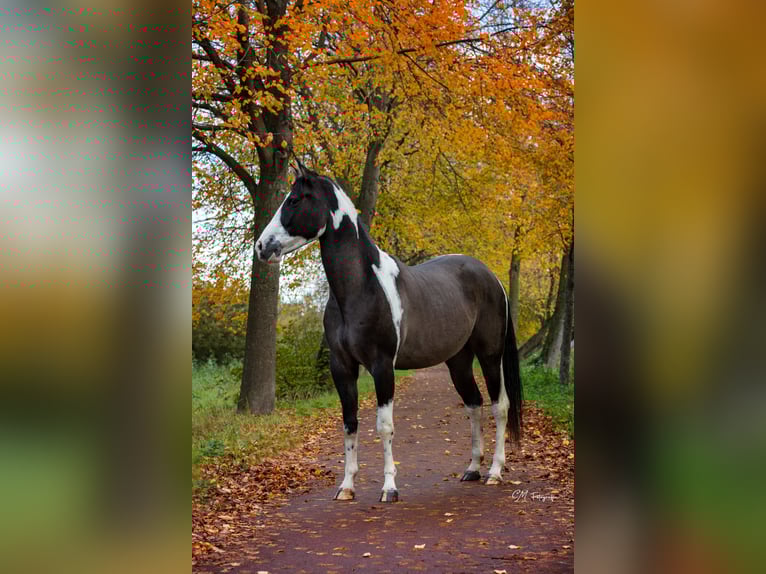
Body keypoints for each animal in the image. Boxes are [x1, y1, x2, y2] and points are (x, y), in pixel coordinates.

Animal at [255, 167, 522, 503]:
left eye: (294, 200)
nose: (262, 247)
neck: (360, 289)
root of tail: (492, 277)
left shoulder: (382, 366)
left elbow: (384, 427)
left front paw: (389, 488)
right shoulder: (342, 367)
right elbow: (350, 424)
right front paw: (346, 487)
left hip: (489, 355)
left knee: (500, 406)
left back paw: (495, 472)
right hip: (458, 361)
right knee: (474, 404)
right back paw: (473, 468)